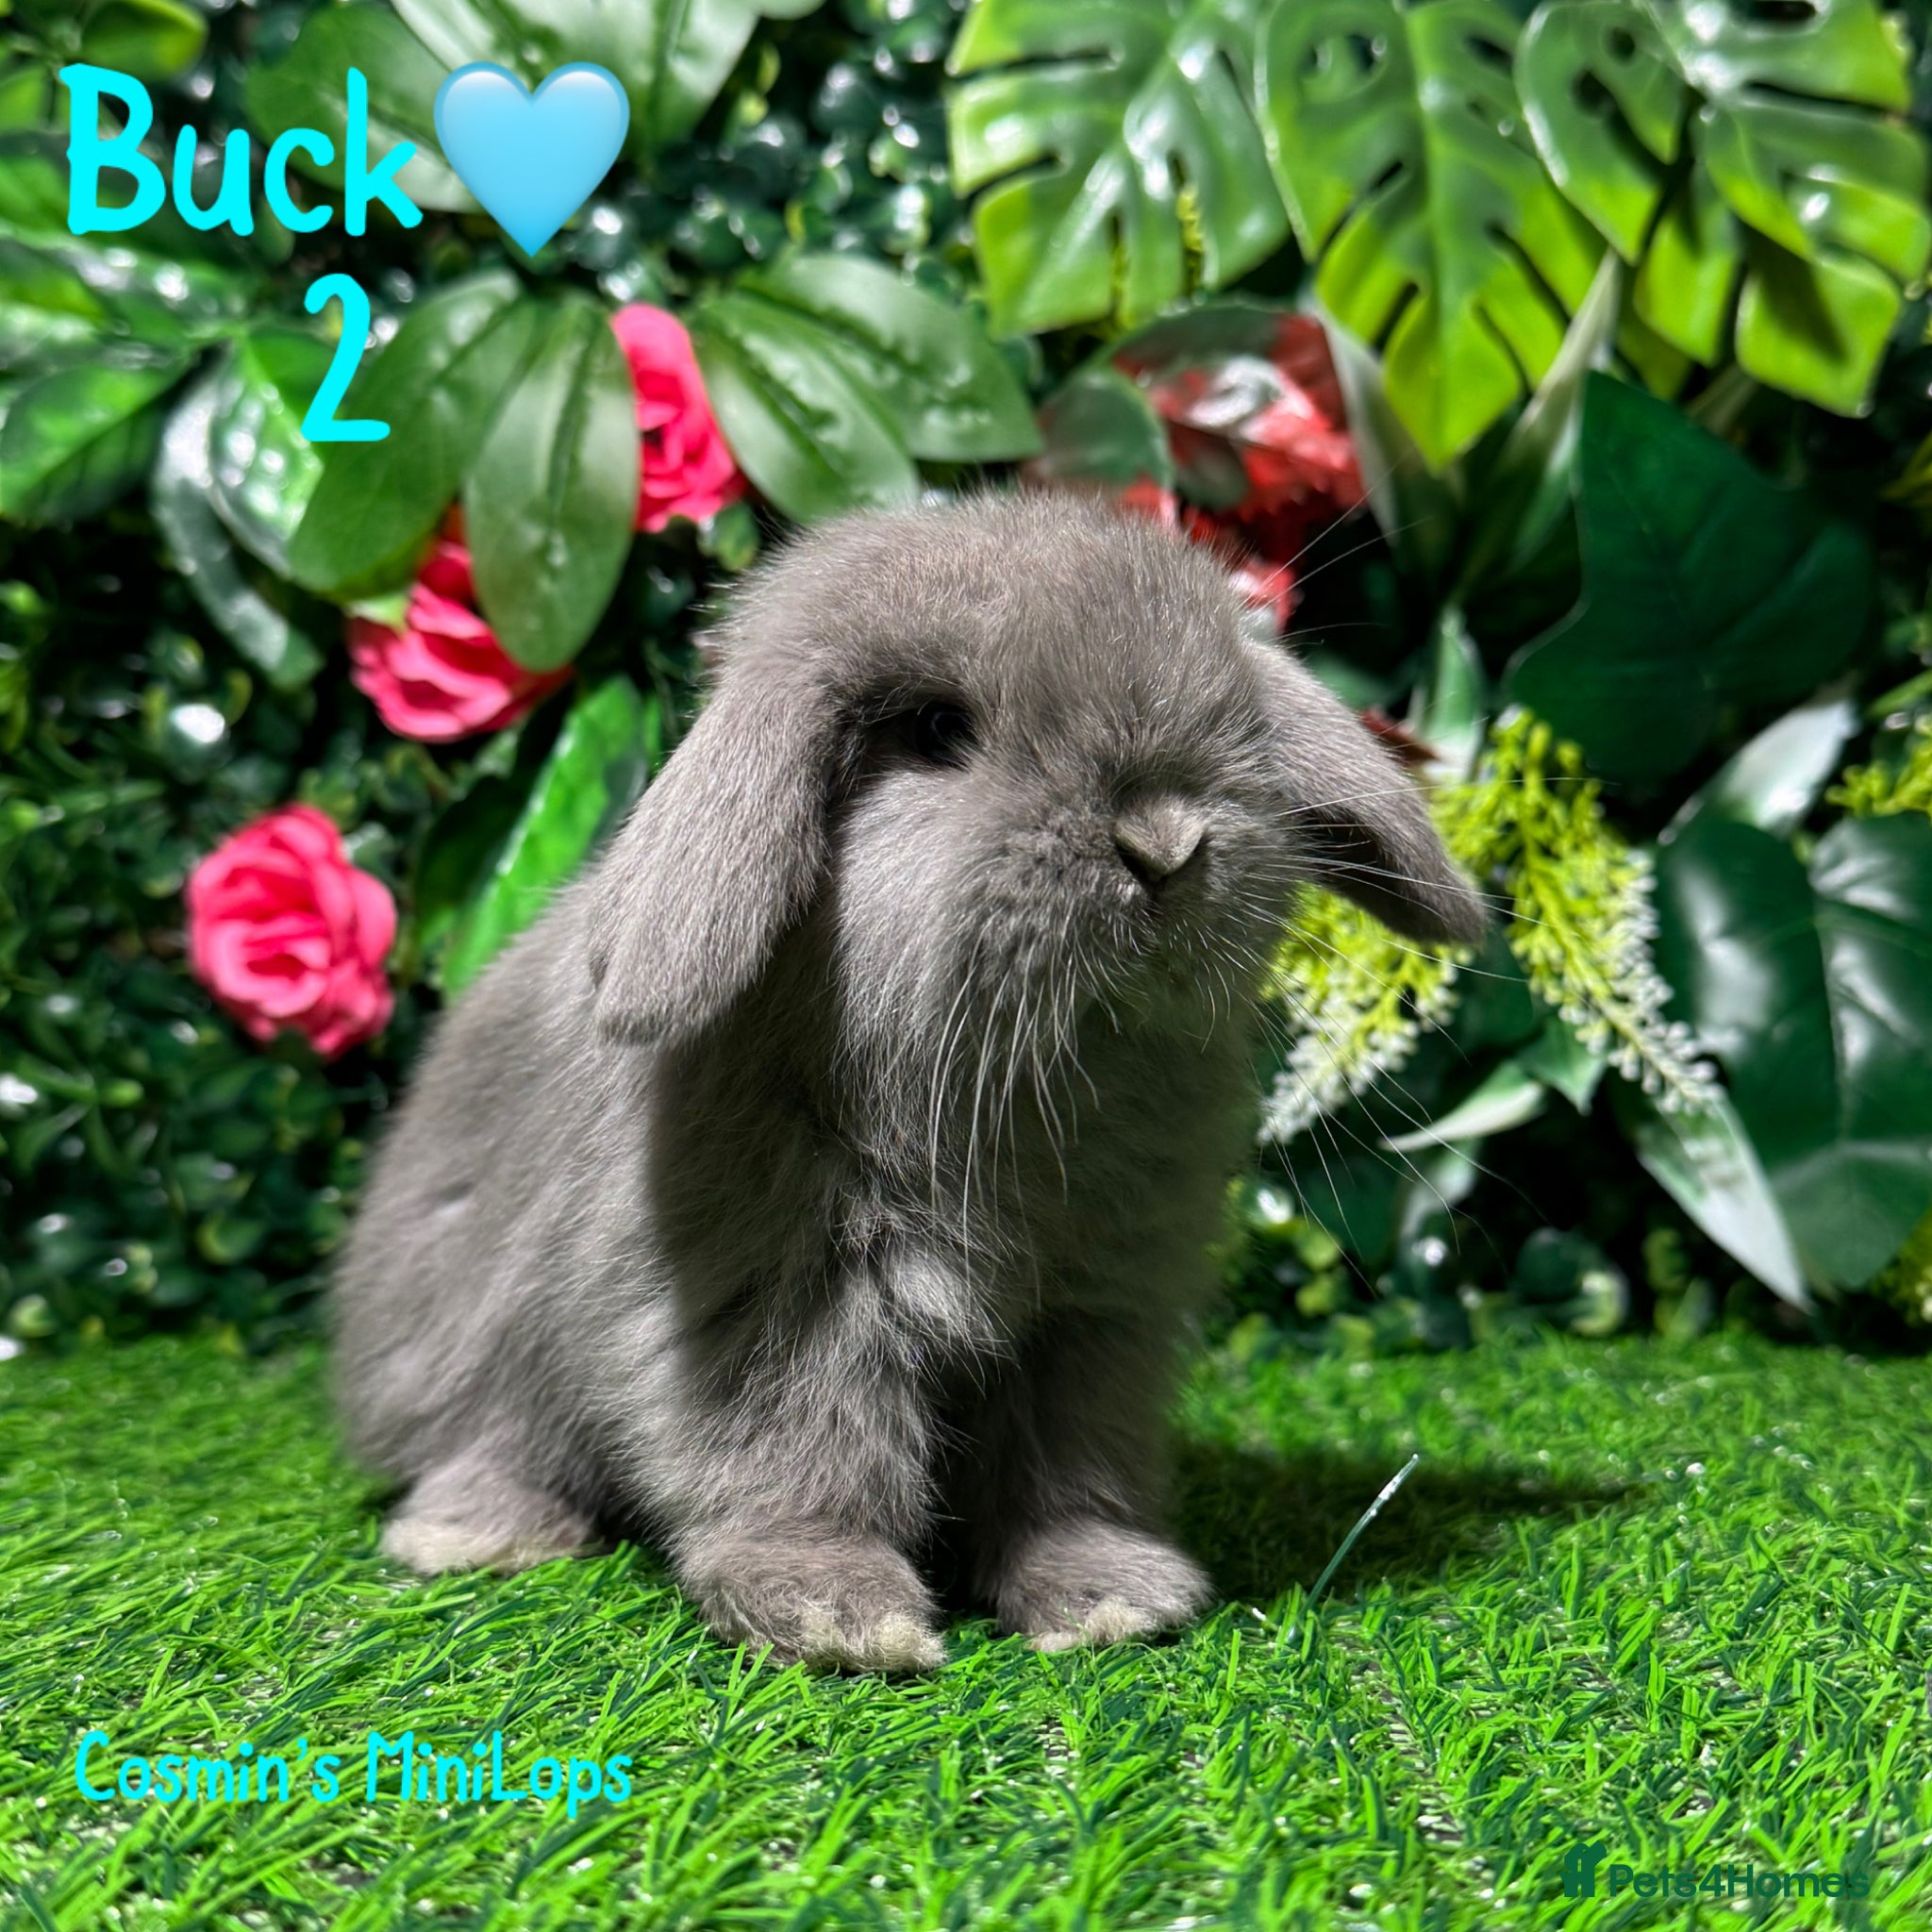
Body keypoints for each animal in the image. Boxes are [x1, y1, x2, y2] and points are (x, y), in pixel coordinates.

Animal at [333, 492, 1485, 1671]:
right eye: (935, 731)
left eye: (1234, 712)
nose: (1164, 844)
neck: (1031, 1086)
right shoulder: (782, 1305)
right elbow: (803, 1448)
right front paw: (841, 1614)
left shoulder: (1092, 1320)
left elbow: (1066, 1468)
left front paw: (1110, 1595)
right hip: (469, 1334)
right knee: (484, 1433)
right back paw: (478, 1533)